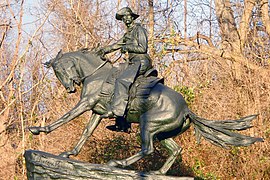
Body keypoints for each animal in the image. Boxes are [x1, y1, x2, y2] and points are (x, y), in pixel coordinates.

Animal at [29, 49, 262, 174]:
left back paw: (118, 163)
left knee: (147, 149)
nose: (69, 88)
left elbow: (65, 118)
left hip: (147, 125)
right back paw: (158, 172)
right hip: (162, 133)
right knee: (175, 149)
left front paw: (39, 129)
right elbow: (86, 132)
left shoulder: (86, 103)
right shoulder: (96, 110)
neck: (96, 75)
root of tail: (186, 110)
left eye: (59, 70)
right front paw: (69, 153)